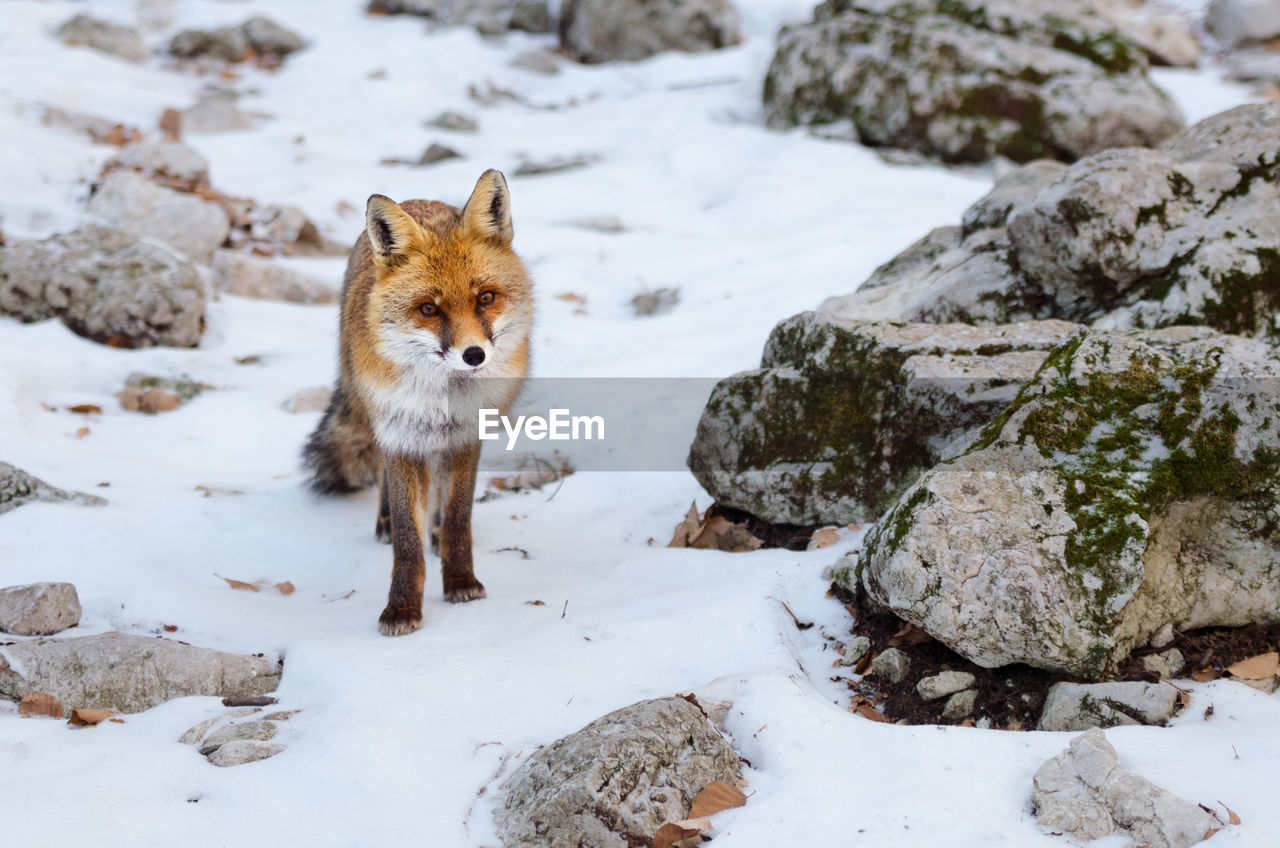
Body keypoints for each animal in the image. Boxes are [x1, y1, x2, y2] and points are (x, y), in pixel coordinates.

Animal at [302, 171, 532, 637]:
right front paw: (403, 607)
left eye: (485, 298)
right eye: (428, 309)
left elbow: (459, 517)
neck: (442, 399)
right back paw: (386, 522)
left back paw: (437, 533)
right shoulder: (401, 437)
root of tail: (420, 199)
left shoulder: (467, 436)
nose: (474, 355)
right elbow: (408, 541)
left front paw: (460, 580)